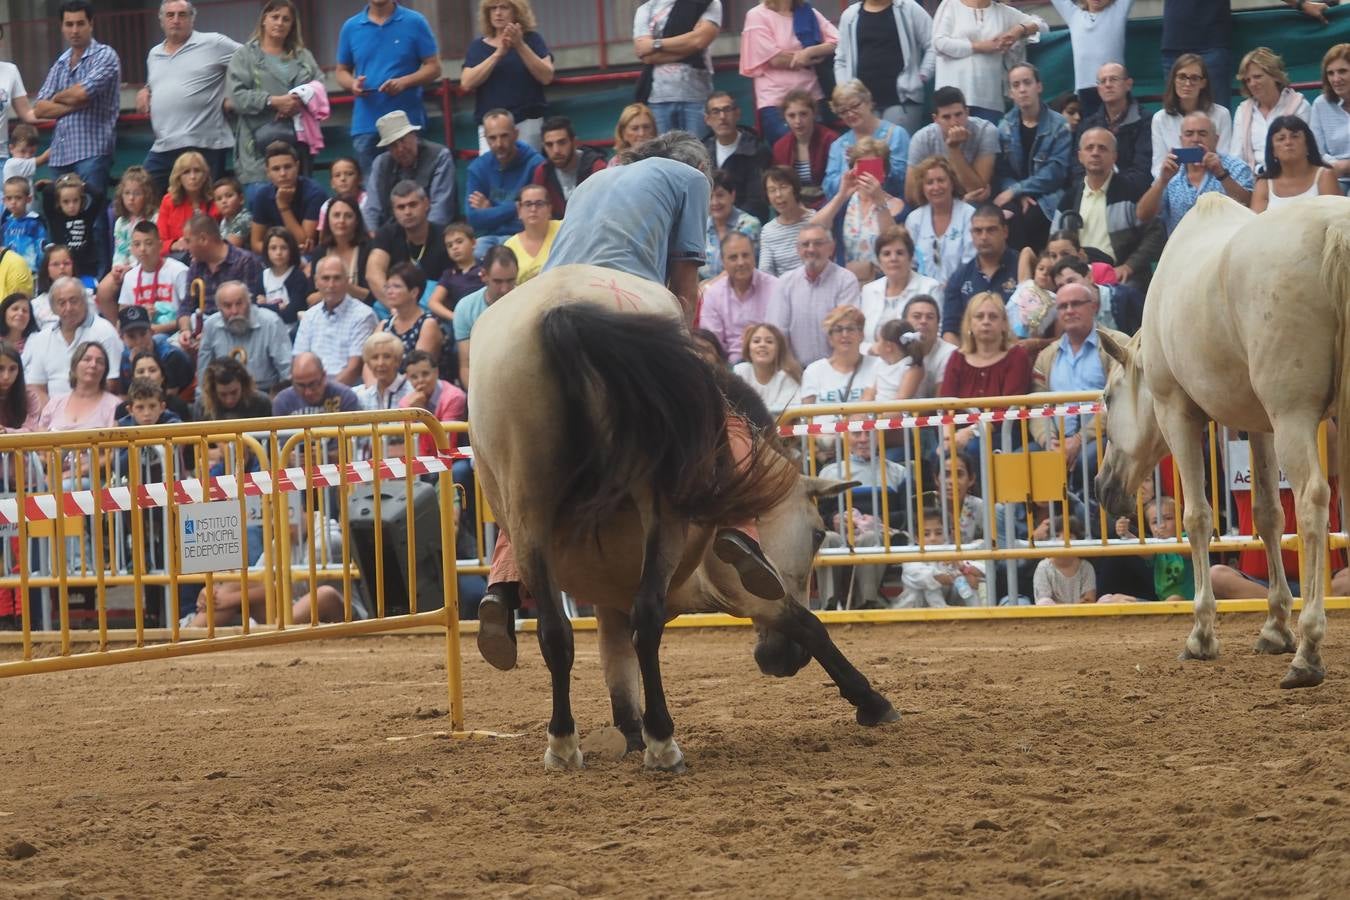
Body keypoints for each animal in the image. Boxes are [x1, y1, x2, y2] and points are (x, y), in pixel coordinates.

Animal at [464, 264, 896, 771]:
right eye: (817, 534)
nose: (780, 660)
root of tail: (564, 305)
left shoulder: (610, 603)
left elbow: (618, 670)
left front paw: (630, 734)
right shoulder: (739, 589)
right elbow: (806, 623)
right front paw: (871, 702)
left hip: (528, 508)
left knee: (558, 632)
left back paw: (564, 743)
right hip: (662, 513)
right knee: (647, 621)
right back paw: (663, 743)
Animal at [1096, 194, 1350, 685]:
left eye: (1107, 396)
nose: (1102, 487)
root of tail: (1334, 228)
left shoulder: (1178, 413)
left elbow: (1197, 517)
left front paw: (1201, 635)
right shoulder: (1260, 426)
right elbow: (1269, 515)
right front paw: (1274, 627)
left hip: (1293, 416)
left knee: (1312, 503)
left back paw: (1308, 650)